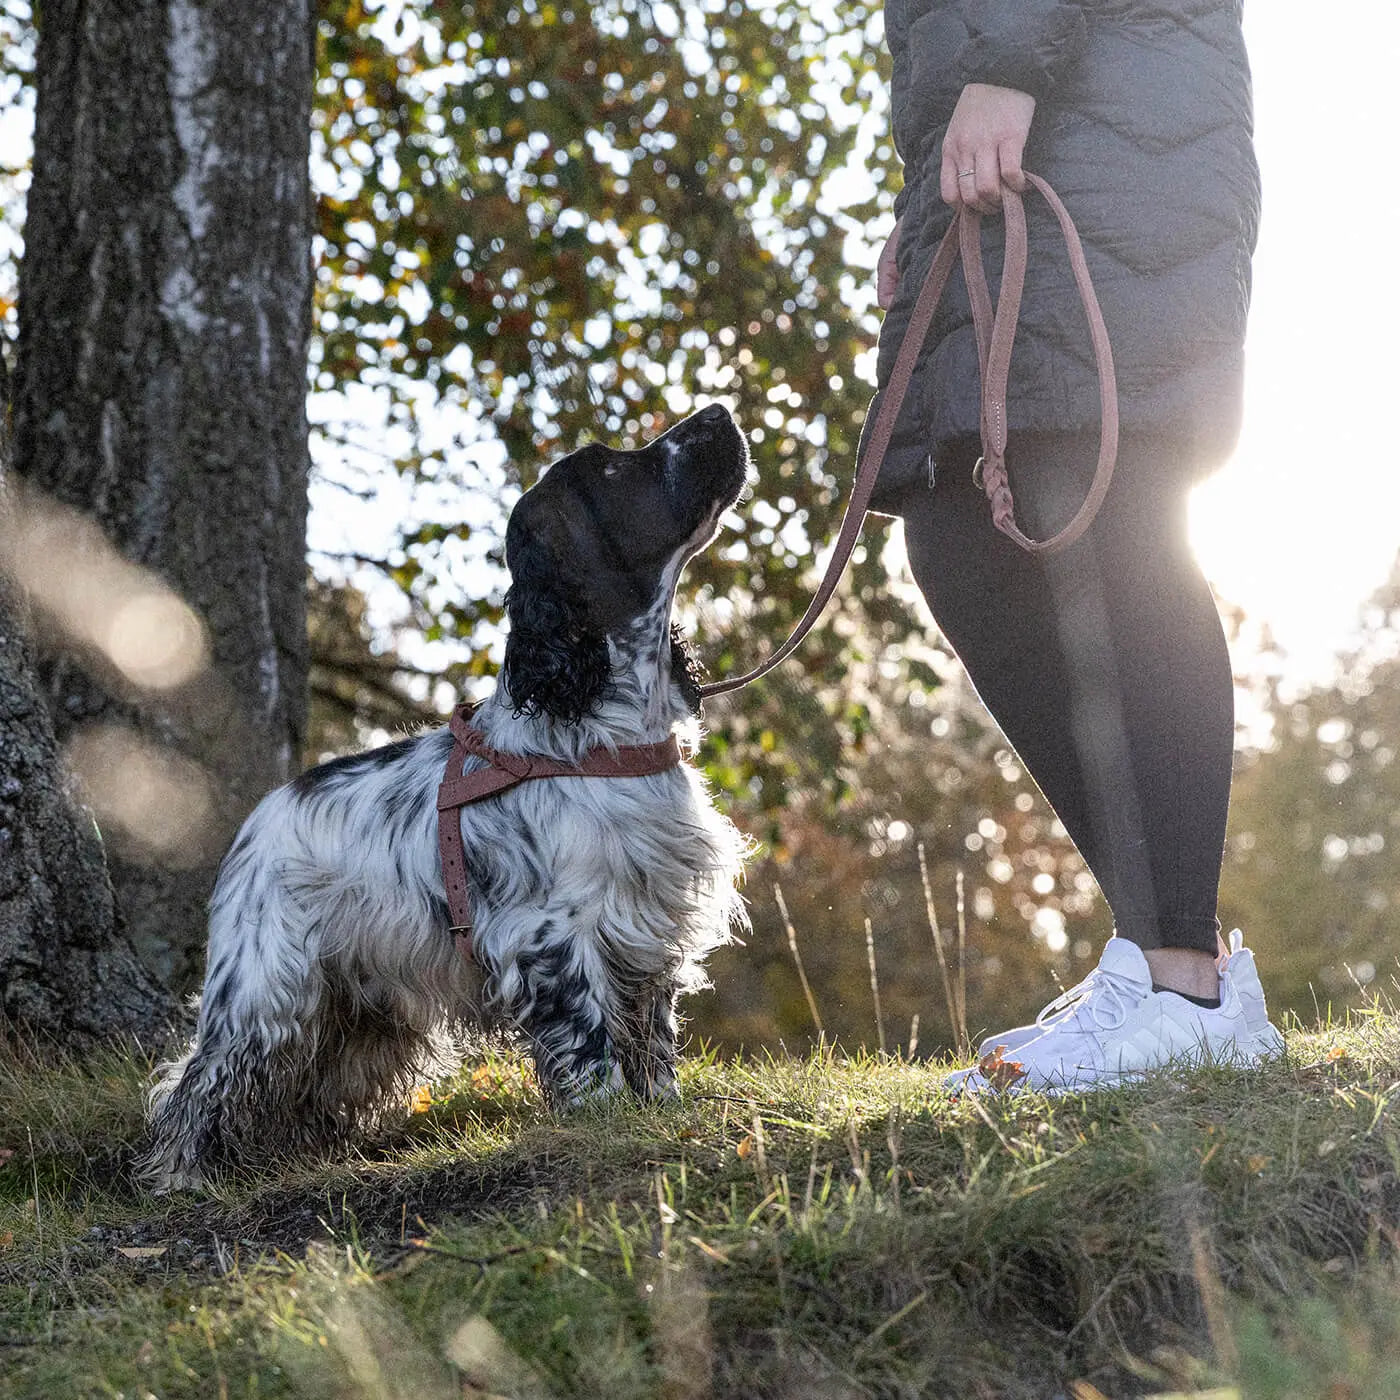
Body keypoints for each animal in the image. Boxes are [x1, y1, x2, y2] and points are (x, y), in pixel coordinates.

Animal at [139, 406, 756, 1192]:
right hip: (265, 988)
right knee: (201, 1085)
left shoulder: (646, 926)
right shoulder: (553, 937)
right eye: (614, 467)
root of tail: (260, 814)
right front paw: (605, 1123)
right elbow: (591, 1046)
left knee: (309, 1088)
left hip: (365, 1009)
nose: (719, 413)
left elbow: (654, 1042)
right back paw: (183, 1177)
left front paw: (661, 1113)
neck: (603, 723)